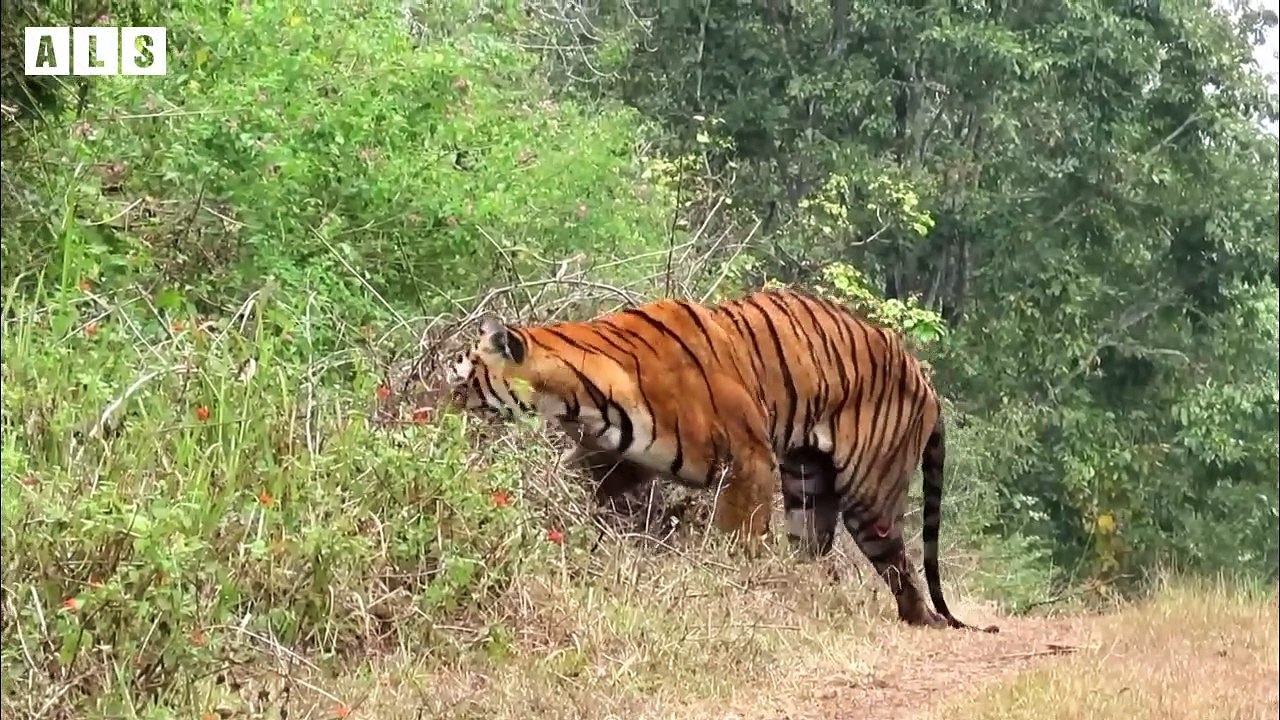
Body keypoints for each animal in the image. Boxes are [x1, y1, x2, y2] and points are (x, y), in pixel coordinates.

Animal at [444, 287, 998, 633]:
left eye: (464, 377)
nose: (435, 410)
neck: (580, 398)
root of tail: (924, 377)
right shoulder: (620, 457)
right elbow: (582, 487)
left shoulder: (748, 459)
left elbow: (737, 539)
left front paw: (739, 592)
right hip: (807, 483)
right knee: (816, 553)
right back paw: (805, 597)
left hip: (870, 495)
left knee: (899, 566)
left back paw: (918, 618)